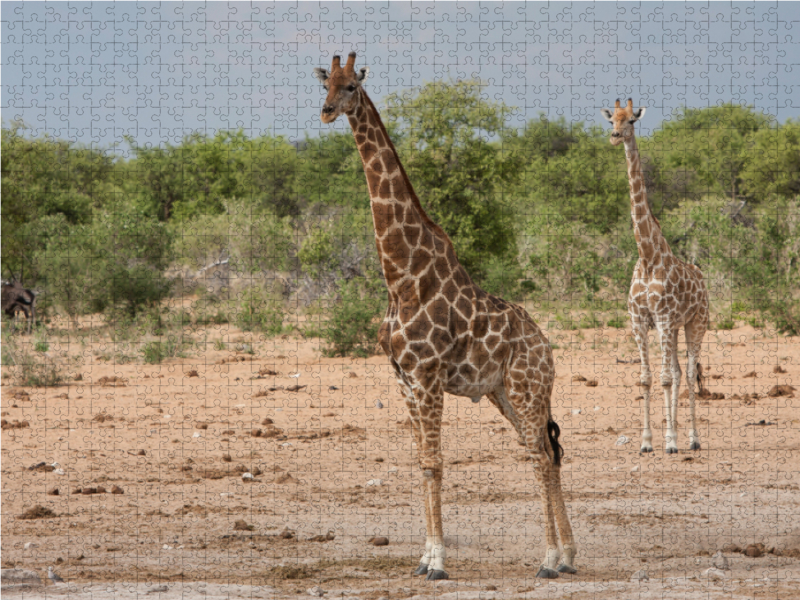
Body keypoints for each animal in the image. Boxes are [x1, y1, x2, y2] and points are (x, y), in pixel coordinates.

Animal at [312, 54, 576, 580]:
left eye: (351, 86)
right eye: (324, 84)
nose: (328, 111)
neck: (401, 276)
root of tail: (545, 345)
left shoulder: (428, 375)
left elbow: (435, 462)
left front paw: (436, 562)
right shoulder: (403, 379)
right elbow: (421, 462)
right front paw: (422, 557)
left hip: (526, 387)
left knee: (540, 456)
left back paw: (549, 560)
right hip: (503, 393)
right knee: (544, 452)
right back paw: (567, 555)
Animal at [604, 99, 708, 454]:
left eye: (632, 121)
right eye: (612, 118)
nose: (615, 137)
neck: (647, 256)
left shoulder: (662, 319)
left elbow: (664, 378)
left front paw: (671, 442)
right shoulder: (639, 321)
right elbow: (647, 379)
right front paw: (648, 442)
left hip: (695, 323)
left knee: (687, 373)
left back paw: (690, 439)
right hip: (674, 328)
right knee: (676, 372)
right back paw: (671, 435)